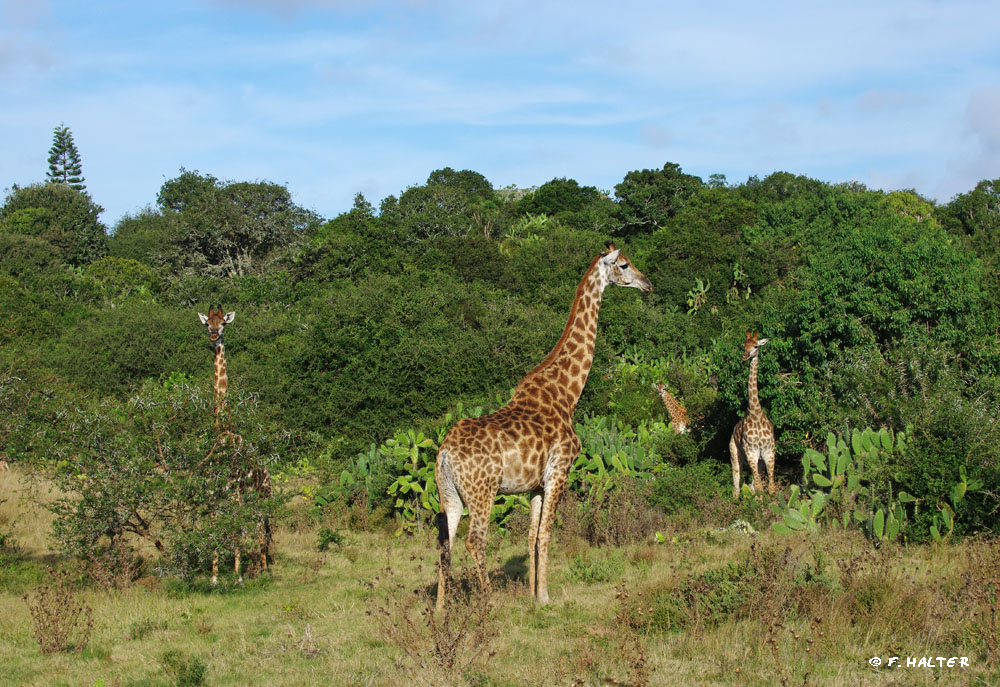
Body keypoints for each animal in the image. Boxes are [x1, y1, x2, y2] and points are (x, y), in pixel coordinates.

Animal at [195, 308, 272, 584]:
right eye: (207, 323)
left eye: (223, 324)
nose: (214, 335)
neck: (222, 430)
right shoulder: (212, 491)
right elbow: (215, 528)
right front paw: (214, 578)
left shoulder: (236, 490)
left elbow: (236, 530)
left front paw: (237, 578)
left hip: (262, 495)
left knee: (261, 527)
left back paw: (264, 571)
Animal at [434, 242, 652, 608]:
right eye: (624, 264)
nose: (647, 283)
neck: (567, 392)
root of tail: (445, 453)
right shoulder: (559, 471)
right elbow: (547, 533)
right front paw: (546, 597)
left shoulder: (534, 485)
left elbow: (531, 535)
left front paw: (533, 595)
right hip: (483, 492)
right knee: (474, 541)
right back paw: (489, 605)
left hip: (449, 495)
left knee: (444, 543)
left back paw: (440, 610)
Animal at [732, 330, 776, 498]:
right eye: (743, 345)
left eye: (756, 346)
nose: (745, 356)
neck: (756, 413)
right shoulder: (751, 452)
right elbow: (759, 487)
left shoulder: (768, 452)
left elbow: (770, 488)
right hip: (736, 452)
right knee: (737, 483)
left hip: (760, 461)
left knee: (752, 484)